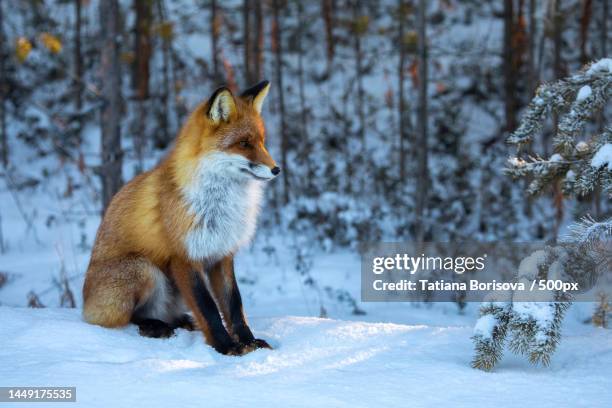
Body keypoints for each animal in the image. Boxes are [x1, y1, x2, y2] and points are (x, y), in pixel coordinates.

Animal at [83, 81, 280, 356]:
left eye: (262, 142)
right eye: (244, 143)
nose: (276, 169)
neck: (219, 206)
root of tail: (84, 305)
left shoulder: (222, 254)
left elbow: (234, 306)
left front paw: (249, 342)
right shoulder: (185, 257)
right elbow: (209, 309)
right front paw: (226, 346)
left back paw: (179, 321)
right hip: (144, 269)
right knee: (128, 318)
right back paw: (154, 326)